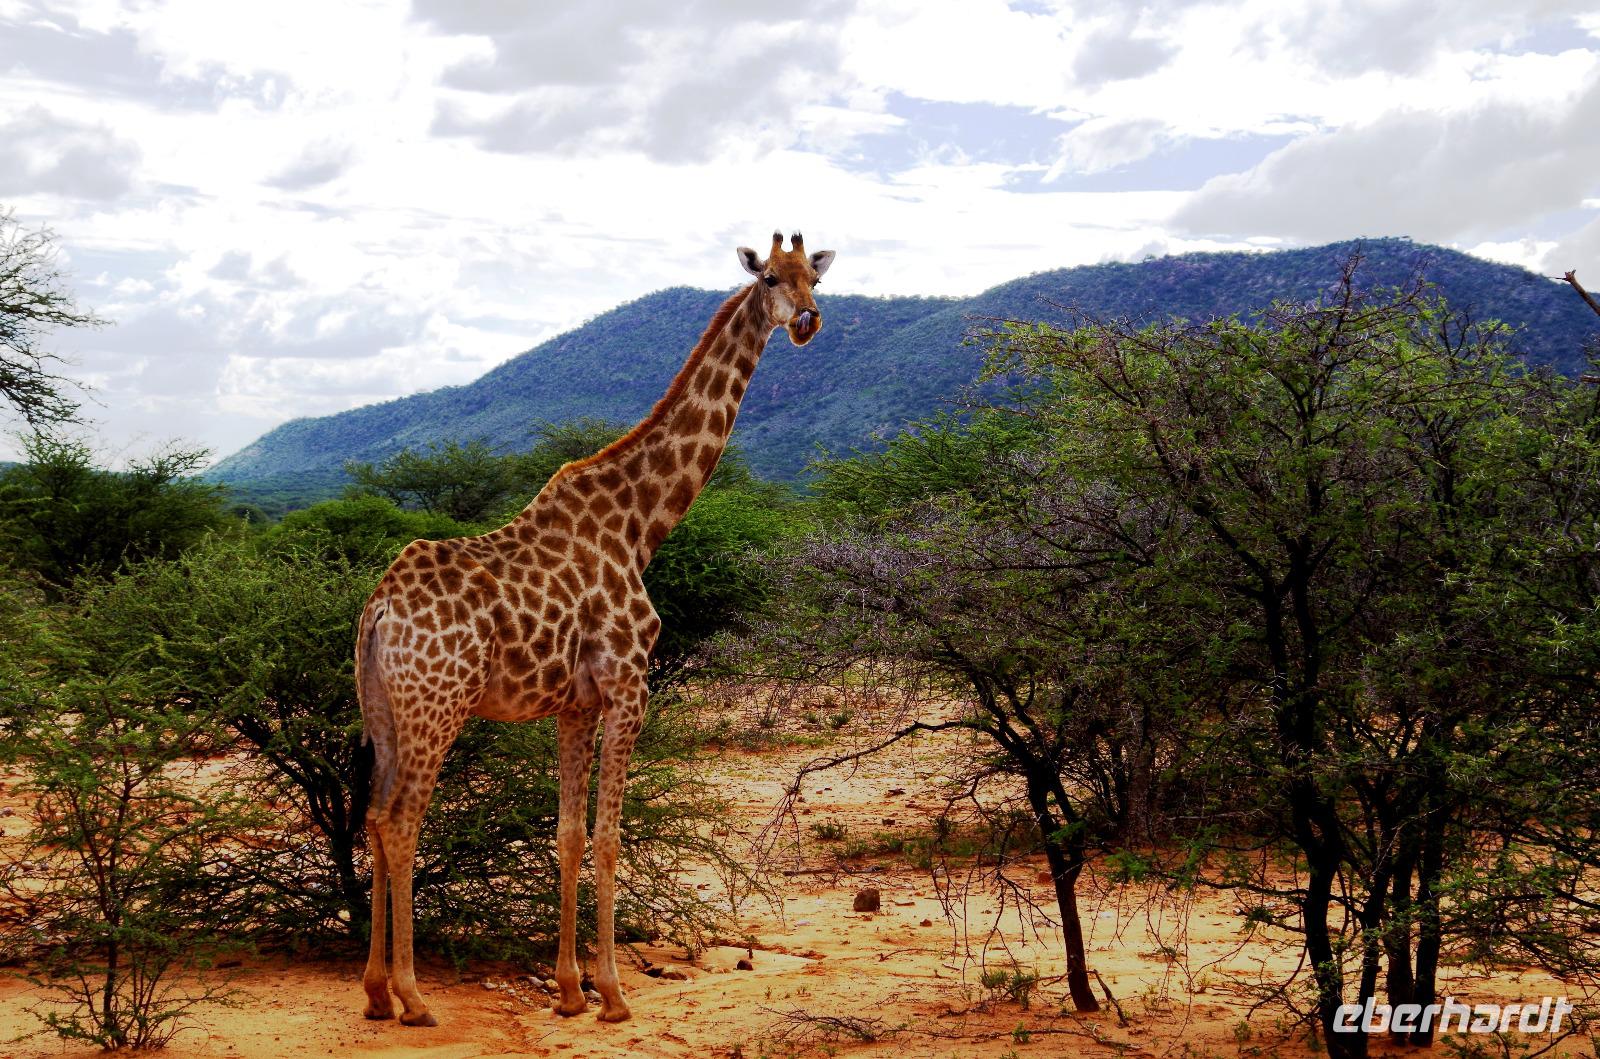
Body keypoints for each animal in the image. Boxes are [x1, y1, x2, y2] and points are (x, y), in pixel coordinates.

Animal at [356, 231, 835, 1026]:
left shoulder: (574, 703)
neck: (640, 523)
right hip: (438, 704)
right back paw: (414, 996)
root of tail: (380, 609)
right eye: (769, 277)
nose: (806, 321)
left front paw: (570, 989)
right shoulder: (628, 682)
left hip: (383, 710)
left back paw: (372, 992)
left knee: (369, 814)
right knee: (400, 820)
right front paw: (612, 992)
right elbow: (610, 835)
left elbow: (570, 833)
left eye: (814, 278)